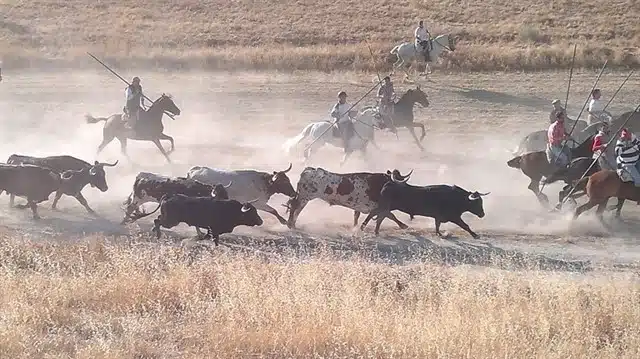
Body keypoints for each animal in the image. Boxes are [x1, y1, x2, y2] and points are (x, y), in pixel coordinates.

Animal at [286, 167, 416, 229]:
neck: (379, 184)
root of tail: (308, 170)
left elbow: (356, 217)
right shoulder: (377, 207)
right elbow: (391, 215)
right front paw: (403, 225)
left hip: (304, 198)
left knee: (296, 209)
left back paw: (293, 224)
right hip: (304, 197)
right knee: (294, 207)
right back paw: (290, 224)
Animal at [360, 172, 490, 239]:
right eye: (477, 202)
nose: (482, 214)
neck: (457, 198)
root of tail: (389, 183)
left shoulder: (439, 218)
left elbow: (437, 225)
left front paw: (439, 234)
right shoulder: (454, 217)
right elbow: (465, 225)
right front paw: (475, 235)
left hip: (387, 206)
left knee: (377, 214)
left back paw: (367, 228)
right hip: (387, 206)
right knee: (380, 216)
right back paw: (373, 230)